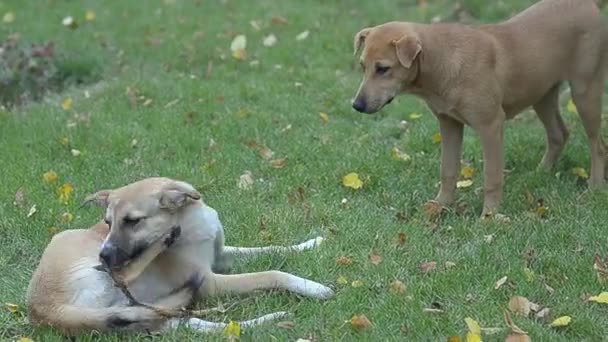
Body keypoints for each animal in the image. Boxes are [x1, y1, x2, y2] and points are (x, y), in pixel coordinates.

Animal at [27, 176, 332, 334]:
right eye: (107, 222)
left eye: (132, 221)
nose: (104, 258)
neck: (190, 222)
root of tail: (42, 310)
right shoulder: (210, 281)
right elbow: (271, 273)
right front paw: (312, 287)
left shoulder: (220, 256)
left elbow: (272, 248)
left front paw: (311, 243)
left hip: (146, 313)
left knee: (197, 325)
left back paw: (267, 320)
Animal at [352, 0, 608, 218]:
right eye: (362, 66)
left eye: (383, 69)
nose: (356, 105)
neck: (441, 61)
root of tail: (587, 4)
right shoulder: (449, 123)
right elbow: (447, 169)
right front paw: (440, 205)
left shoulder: (491, 125)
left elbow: (492, 177)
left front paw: (489, 216)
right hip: (542, 94)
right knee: (558, 134)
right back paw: (541, 173)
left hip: (585, 90)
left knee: (597, 145)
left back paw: (594, 187)